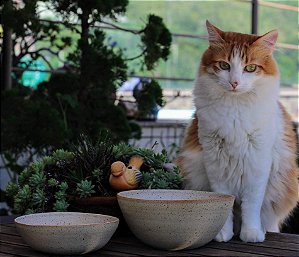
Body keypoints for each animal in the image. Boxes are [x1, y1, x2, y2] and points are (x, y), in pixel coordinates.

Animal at [177, 20, 298, 242]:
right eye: (224, 65)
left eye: (250, 68)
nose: (234, 82)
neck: (235, 110)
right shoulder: (214, 160)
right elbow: (225, 201)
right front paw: (223, 233)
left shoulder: (258, 161)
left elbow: (251, 205)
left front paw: (251, 233)